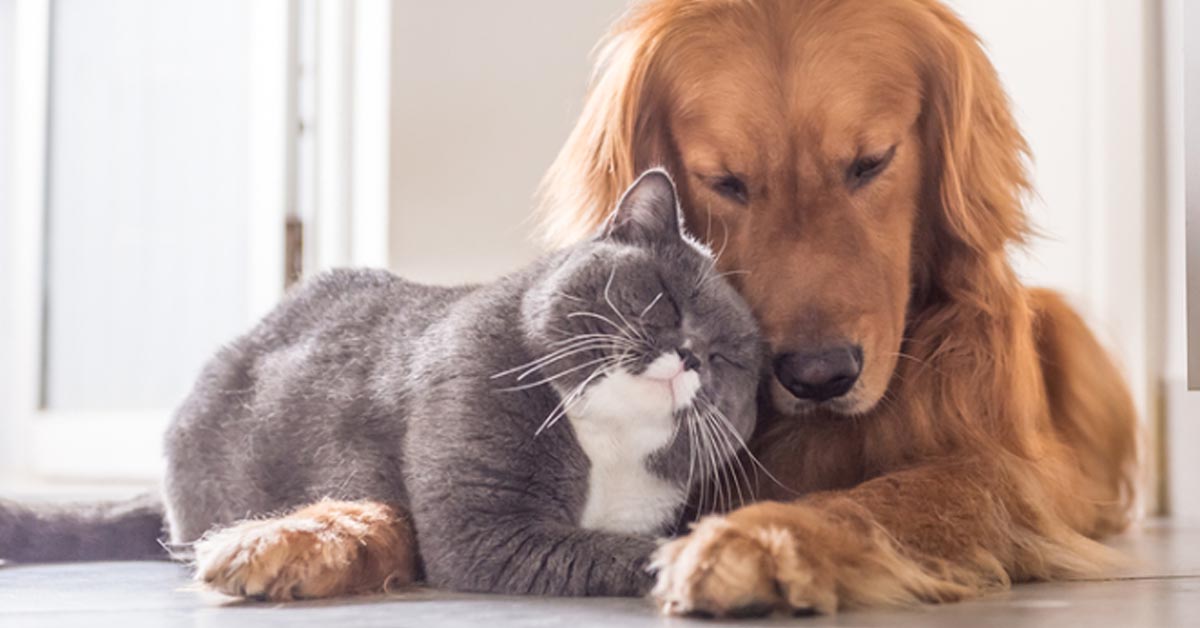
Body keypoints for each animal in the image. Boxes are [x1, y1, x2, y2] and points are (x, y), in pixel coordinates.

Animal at [0, 169, 763, 597]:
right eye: (664, 298)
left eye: (729, 358)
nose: (691, 356)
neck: (606, 446)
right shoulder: (484, 528)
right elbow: (614, 551)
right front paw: (704, 562)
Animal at [540, 0, 1137, 614]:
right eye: (726, 183)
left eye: (871, 162)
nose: (819, 376)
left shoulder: (1002, 470)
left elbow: (884, 497)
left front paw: (756, 539)